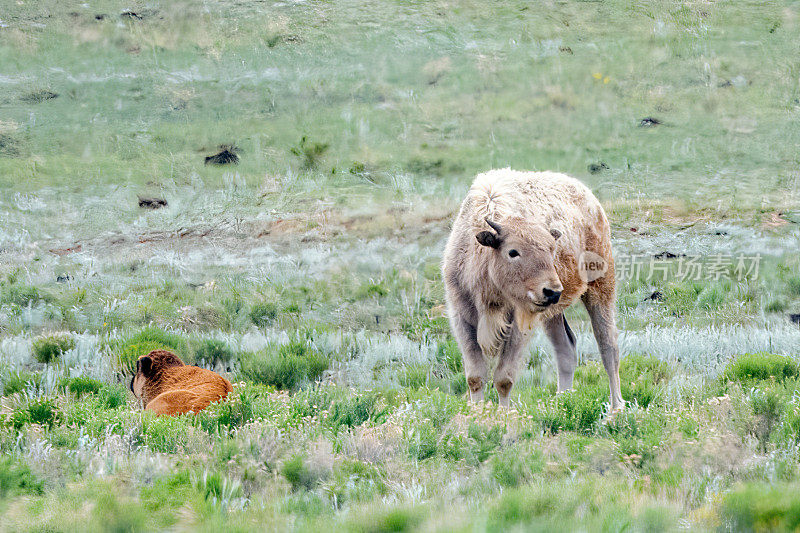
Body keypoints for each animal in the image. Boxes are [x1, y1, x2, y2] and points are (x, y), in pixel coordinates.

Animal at [444, 168, 624, 410]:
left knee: (608, 345)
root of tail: (593, 202)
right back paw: (561, 402)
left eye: (551, 248)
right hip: (553, 313)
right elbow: (475, 376)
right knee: (566, 349)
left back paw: (616, 408)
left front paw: (503, 414)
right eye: (513, 252)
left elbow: (503, 378)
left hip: (601, 288)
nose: (553, 291)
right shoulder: (462, 316)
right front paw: (476, 413)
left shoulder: (518, 325)